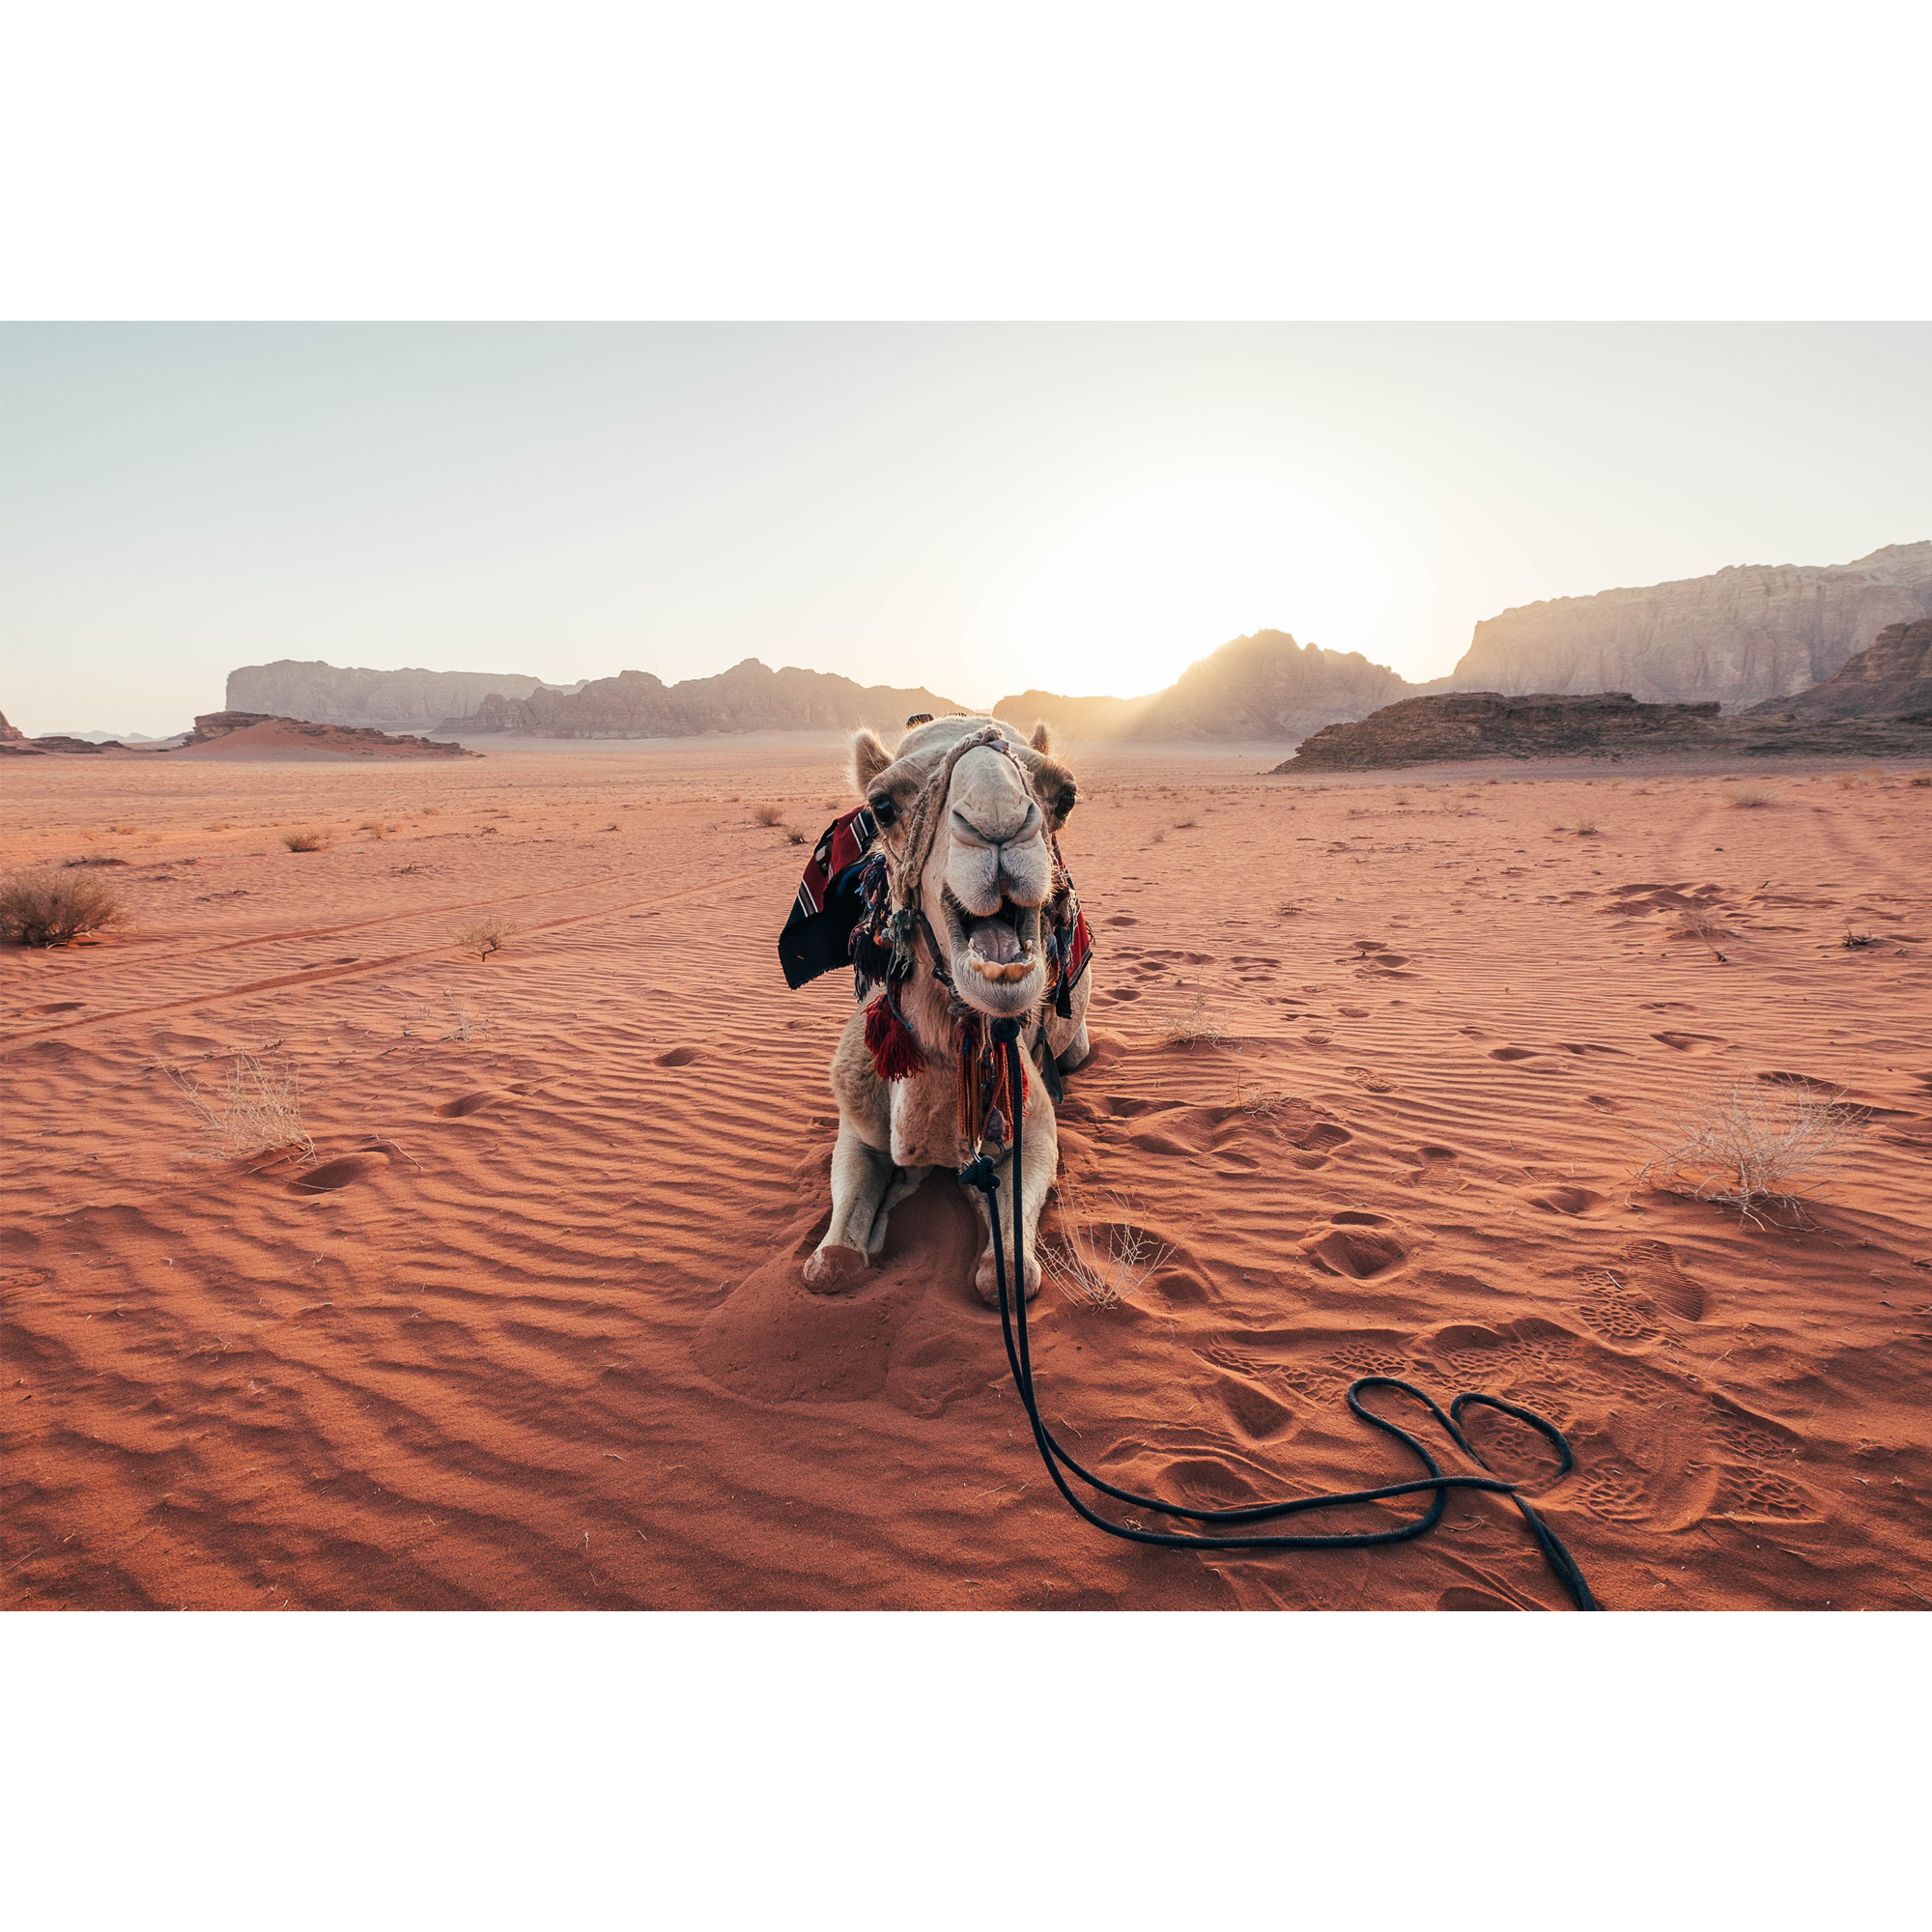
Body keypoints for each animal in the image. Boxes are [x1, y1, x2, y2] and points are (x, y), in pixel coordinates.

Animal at [800, 715, 1092, 1303]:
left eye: (1065, 796)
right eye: (881, 806)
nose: (999, 822)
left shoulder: (1035, 1129)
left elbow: (1008, 1275)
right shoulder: (858, 1128)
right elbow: (830, 1266)